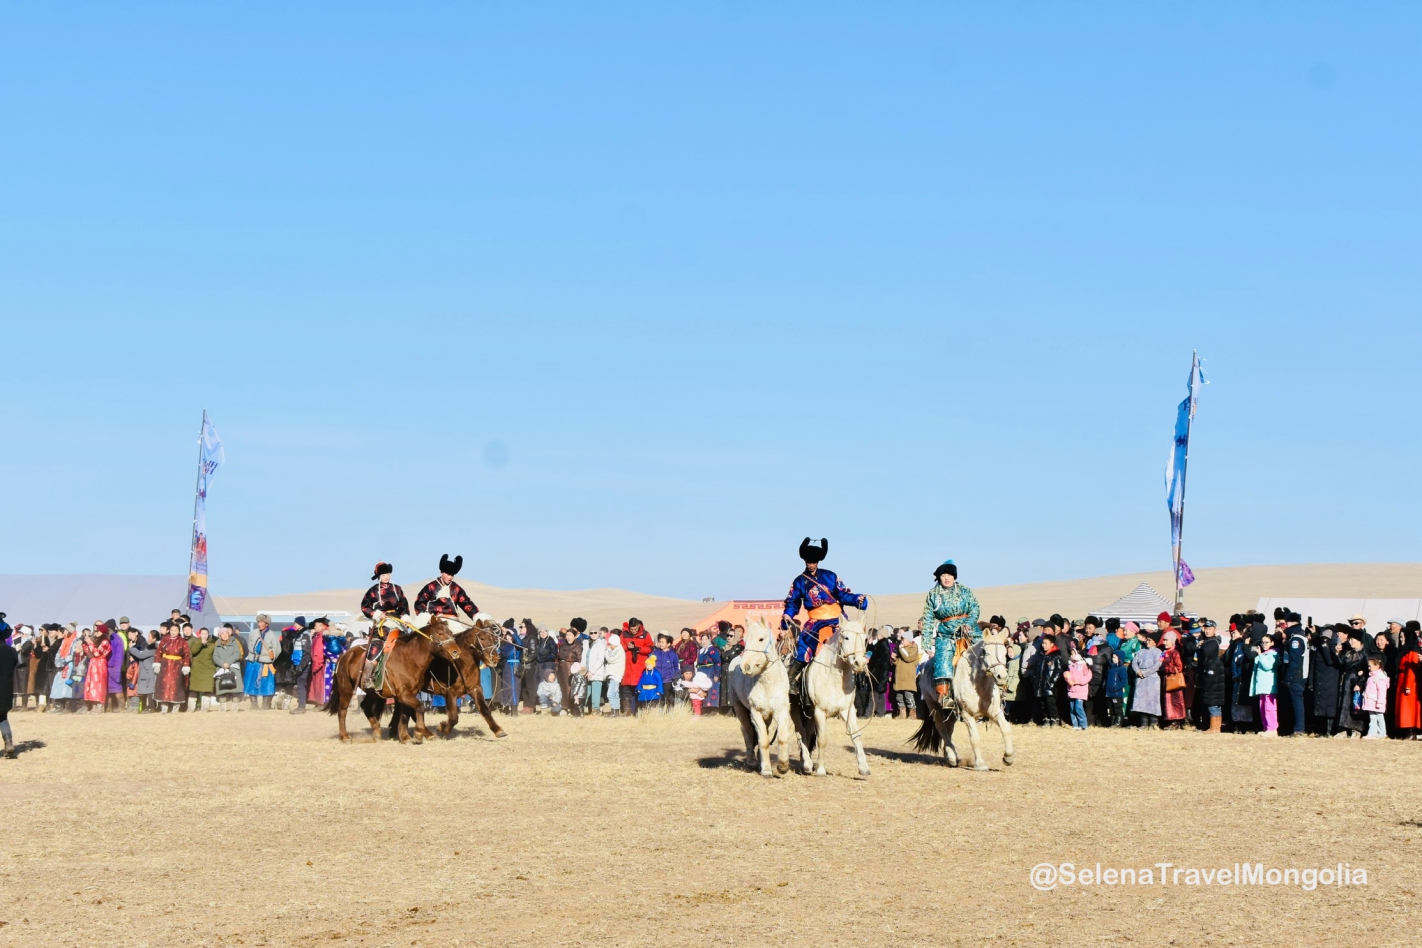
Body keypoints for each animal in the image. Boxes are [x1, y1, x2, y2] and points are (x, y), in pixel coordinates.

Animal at [325, 619, 463, 744]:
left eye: (450, 632)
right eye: (440, 633)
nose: (456, 652)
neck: (410, 658)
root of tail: (345, 655)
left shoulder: (409, 694)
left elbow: (405, 714)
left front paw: (406, 737)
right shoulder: (404, 695)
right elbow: (420, 707)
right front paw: (418, 734)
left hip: (373, 693)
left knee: (365, 706)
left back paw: (377, 732)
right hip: (346, 689)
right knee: (342, 711)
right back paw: (345, 737)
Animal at [728, 619, 796, 773]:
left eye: (761, 639)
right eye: (745, 639)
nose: (745, 666)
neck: (768, 684)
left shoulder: (781, 710)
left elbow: (782, 737)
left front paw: (783, 766)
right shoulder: (756, 712)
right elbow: (763, 740)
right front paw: (766, 769)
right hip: (739, 708)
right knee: (747, 731)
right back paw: (752, 761)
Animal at [784, 616, 870, 778]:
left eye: (865, 638)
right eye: (846, 637)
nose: (860, 663)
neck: (834, 677)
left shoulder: (848, 711)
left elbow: (856, 735)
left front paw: (863, 768)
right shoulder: (820, 711)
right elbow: (822, 739)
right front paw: (821, 769)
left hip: (809, 712)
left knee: (807, 732)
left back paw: (806, 763)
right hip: (795, 709)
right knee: (800, 731)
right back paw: (807, 764)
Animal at [915, 631, 1018, 773]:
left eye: (1005, 652)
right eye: (985, 652)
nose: (1001, 677)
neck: (979, 685)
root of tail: (924, 665)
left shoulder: (995, 712)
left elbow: (1006, 728)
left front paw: (1008, 758)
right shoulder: (967, 714)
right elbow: (974, 738)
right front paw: (980, 764)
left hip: (951, 713)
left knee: (949, 729)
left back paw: (950, 755)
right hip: (933, 706)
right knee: (941, 728)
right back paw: (952, 757)